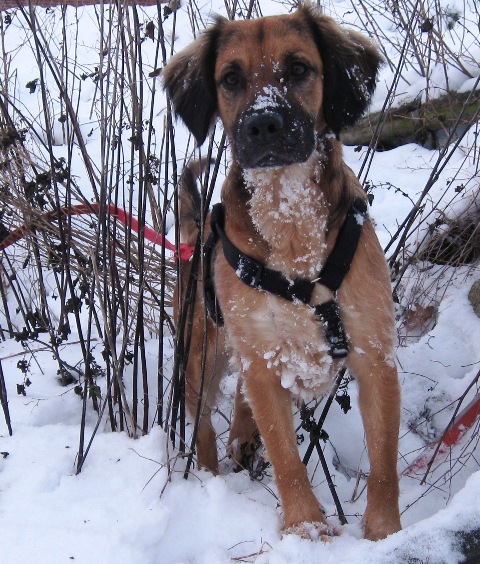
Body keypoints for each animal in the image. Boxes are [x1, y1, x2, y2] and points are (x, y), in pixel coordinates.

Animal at [164, 4, 402, 540]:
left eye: (297, 68)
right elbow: (288, 459)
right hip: (201, 358)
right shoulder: (262, 359)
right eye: (230, 78)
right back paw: (209, 473)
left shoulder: (373, 355)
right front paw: (306, 528)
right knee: (203, 424)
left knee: (238, 408)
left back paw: (242, 441)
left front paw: (384, 533)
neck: (289, 220)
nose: (264, 125)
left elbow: (384, 462)